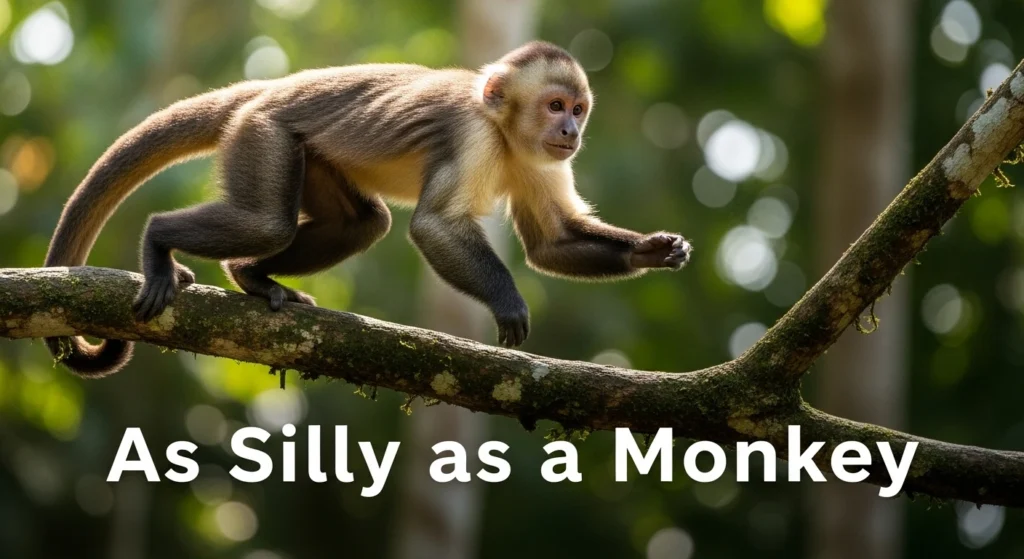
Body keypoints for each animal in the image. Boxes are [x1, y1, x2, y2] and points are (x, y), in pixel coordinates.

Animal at [43, 41, 691, 377]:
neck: (505, 130)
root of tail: (266, 89)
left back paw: (251, 277)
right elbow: (433, 227)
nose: (570, 130)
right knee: (267, 223)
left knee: (362, 224)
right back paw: (160, 244)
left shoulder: (542, 159)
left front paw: (653, 251)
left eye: (578, 110)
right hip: (262, 132)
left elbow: (549, 244)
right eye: (555, 104)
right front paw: (507, 302)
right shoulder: (472, 136)